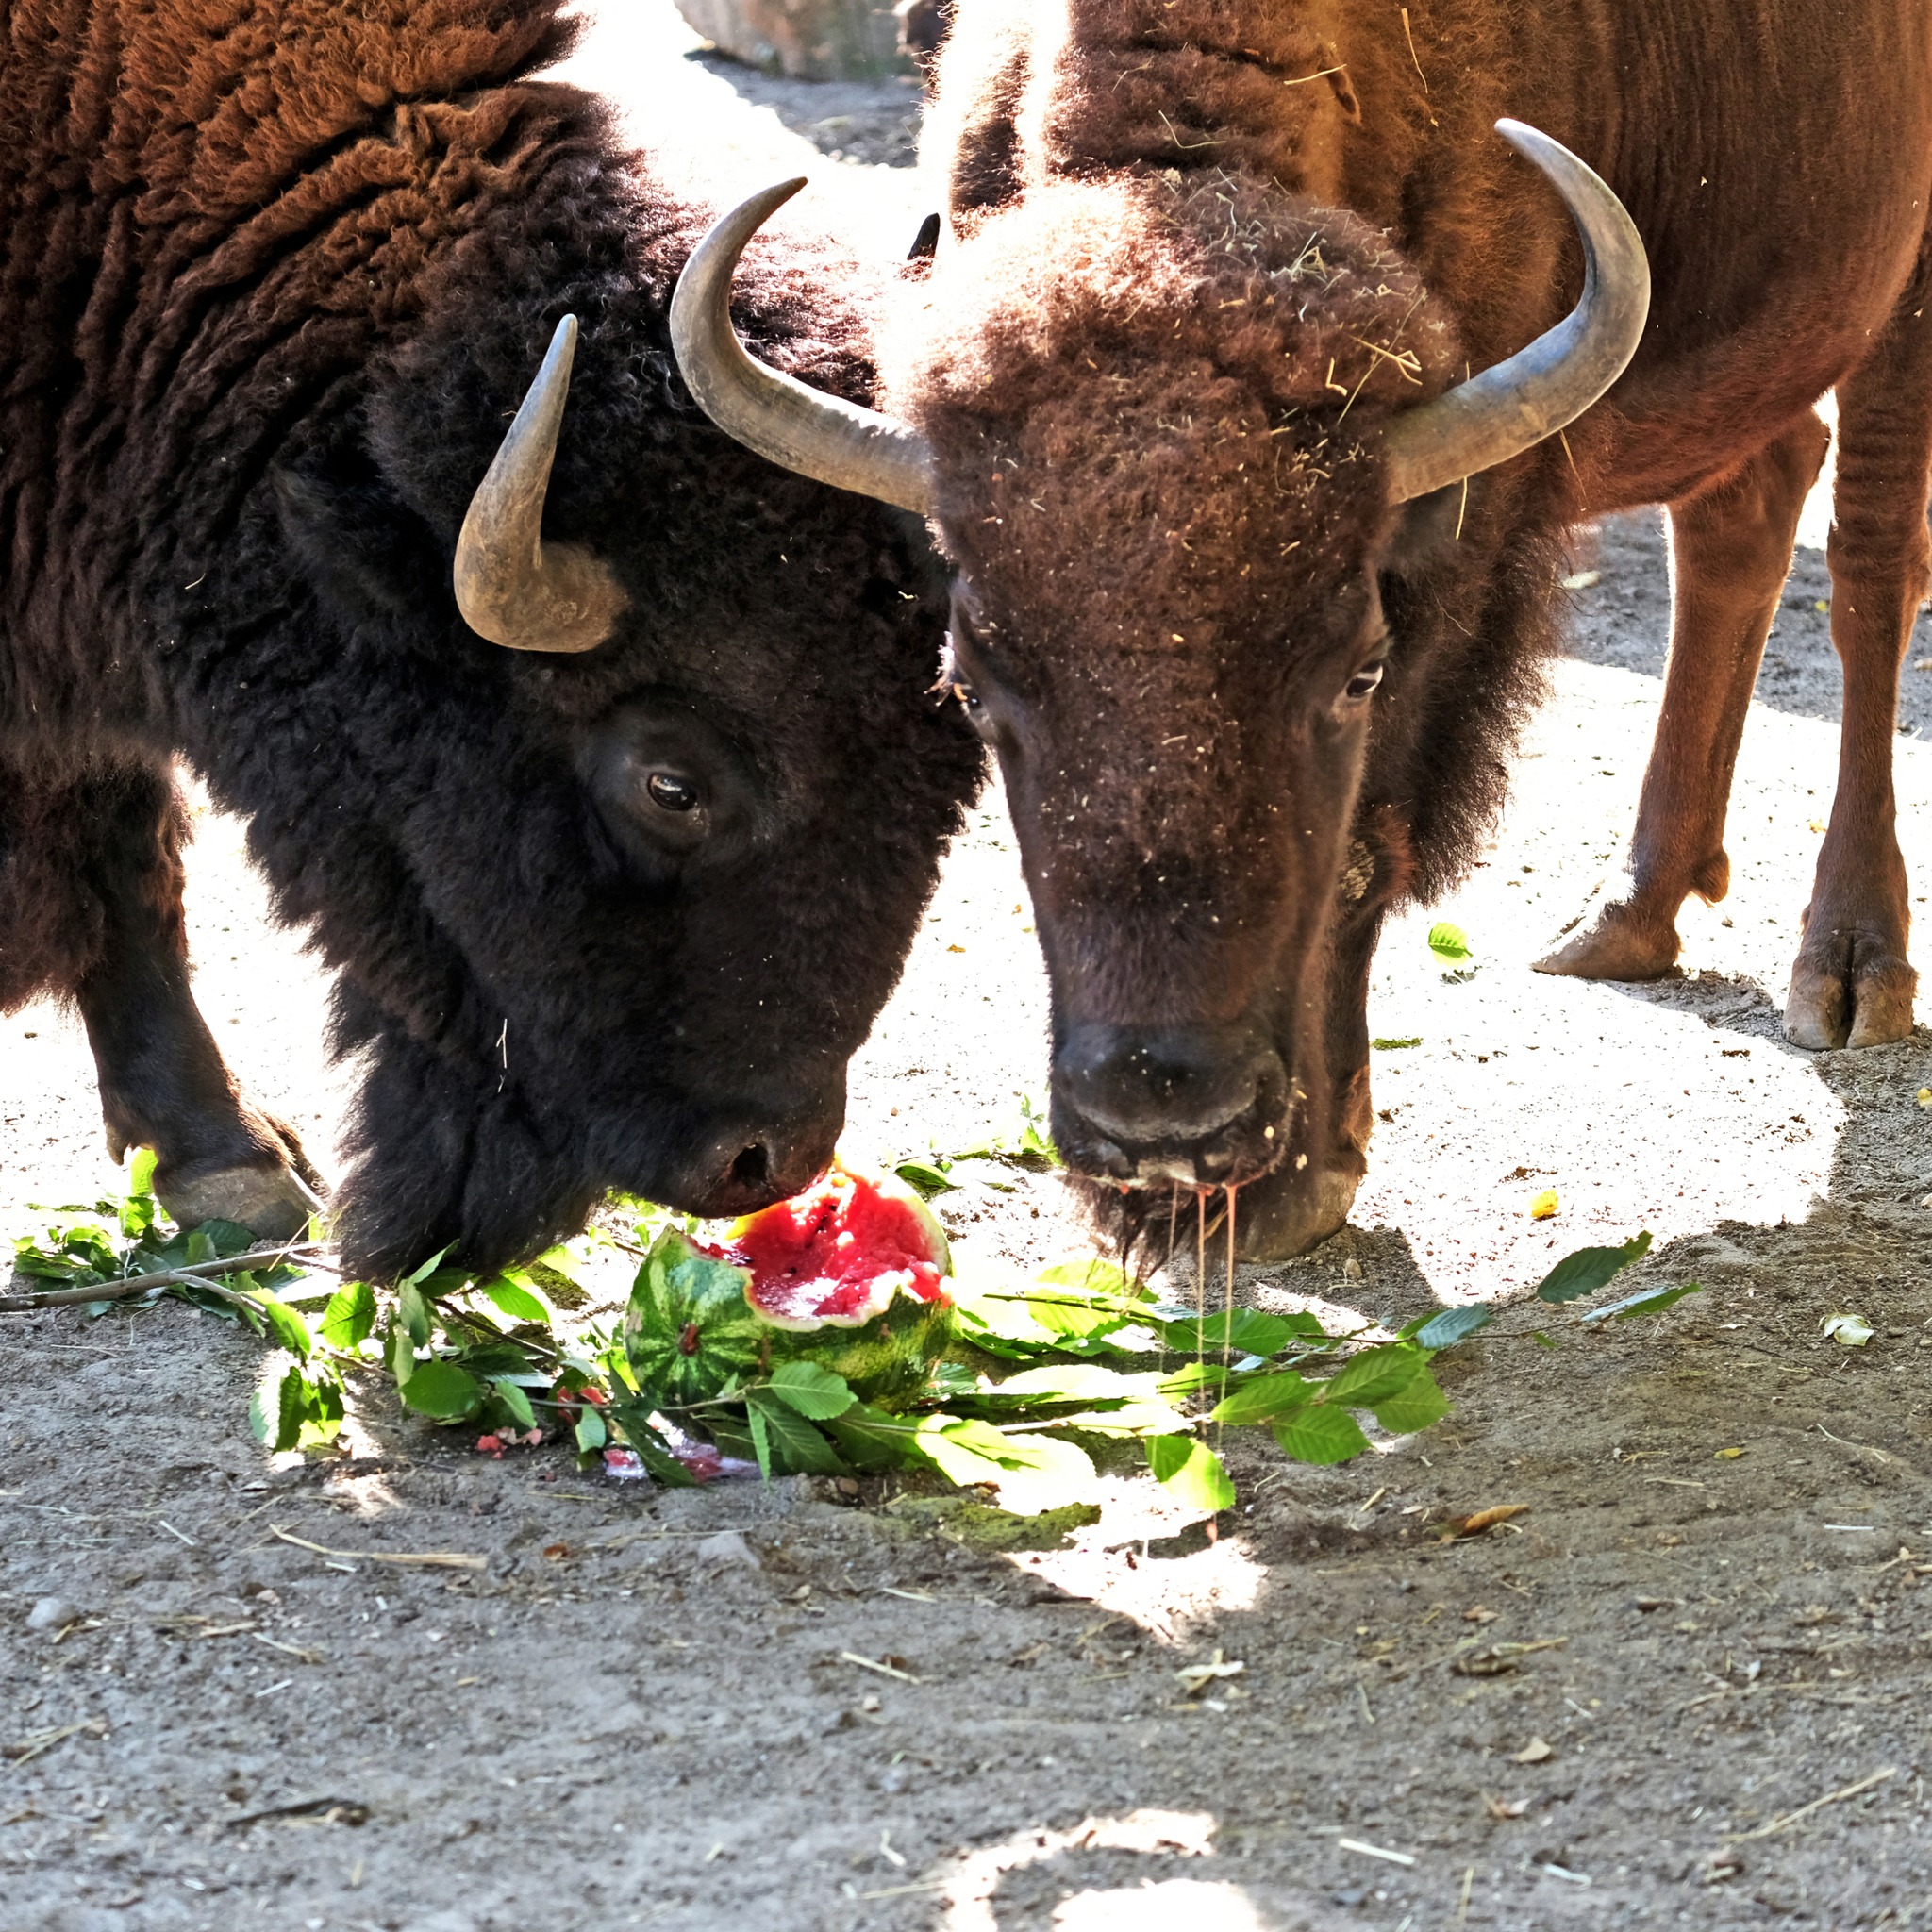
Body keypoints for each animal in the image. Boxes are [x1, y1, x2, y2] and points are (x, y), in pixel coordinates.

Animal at [675, 0, 1932, 1259]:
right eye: (971, 682)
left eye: (1356, 672)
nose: (1159, 1117)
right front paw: (1165, 1214)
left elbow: (1364, 840)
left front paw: (1283, 1190)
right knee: (1743, 508)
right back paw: (1623, 919)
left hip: (1902, 301)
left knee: (1866, 564)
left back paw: (1848, 970)